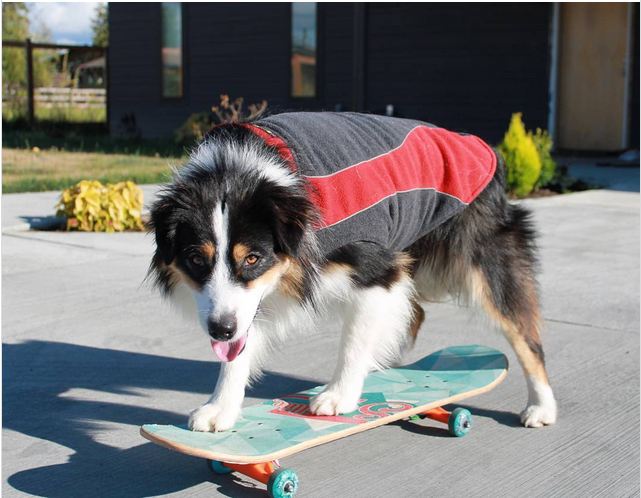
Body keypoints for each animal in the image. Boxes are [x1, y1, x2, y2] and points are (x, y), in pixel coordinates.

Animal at [149, 111, 556, 430]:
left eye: (252, 258)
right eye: (196, 259)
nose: (220, 329)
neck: (241, 171)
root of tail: (481, 147)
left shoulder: (375, 267)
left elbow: (354, 340)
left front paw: (338, 396)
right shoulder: (248, 299)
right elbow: (240, 347)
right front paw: (220, 408)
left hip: (481, 254)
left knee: (524, 334)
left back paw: (541, 406)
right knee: (415, 313)